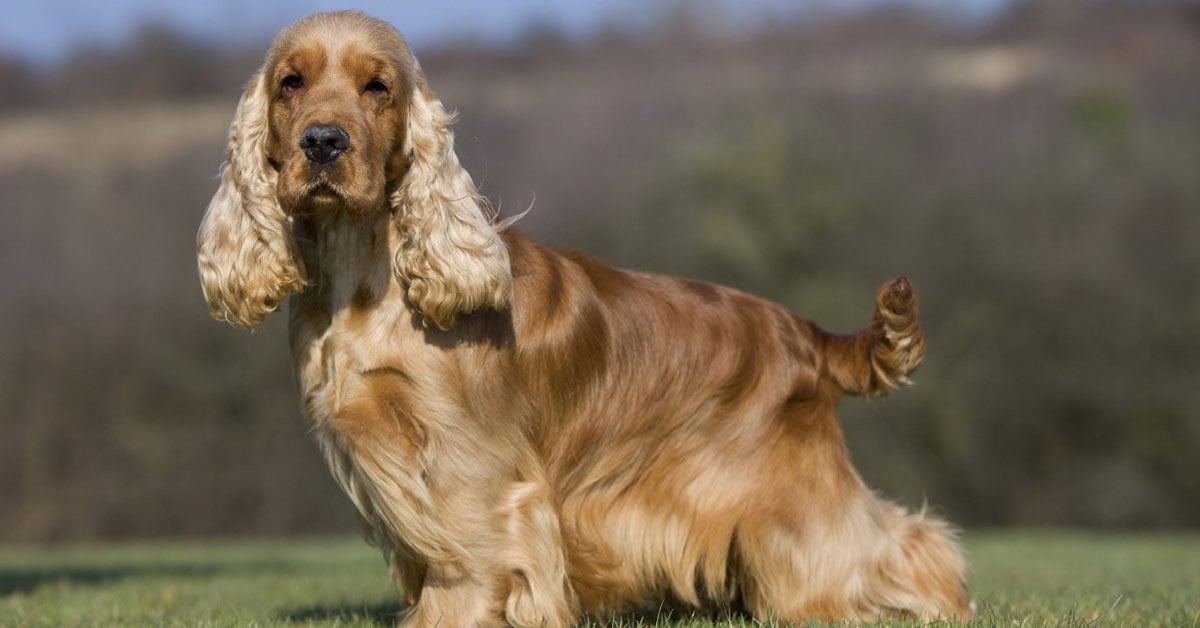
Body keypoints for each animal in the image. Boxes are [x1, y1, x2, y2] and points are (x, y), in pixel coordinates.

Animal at [194, 12, 964, 624]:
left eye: (377, 86)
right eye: (290, 82)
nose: (323, 143)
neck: (366, 276)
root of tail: (805, 334)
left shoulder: (470, 466)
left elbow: (466, 567)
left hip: (793, 500)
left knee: (890, 546)